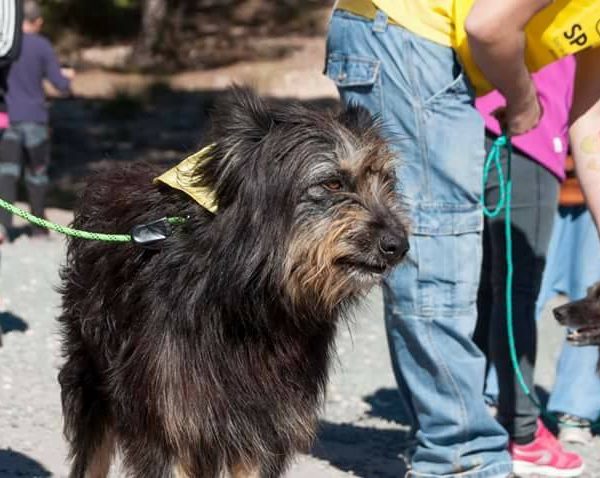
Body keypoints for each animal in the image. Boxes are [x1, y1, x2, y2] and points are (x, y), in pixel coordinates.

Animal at [58, 87, 410, 478]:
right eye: (332, 182)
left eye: (386, 183)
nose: (398, 245)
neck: (251, 301)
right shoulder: (172, 422)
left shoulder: (265, 427)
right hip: (93, 377)